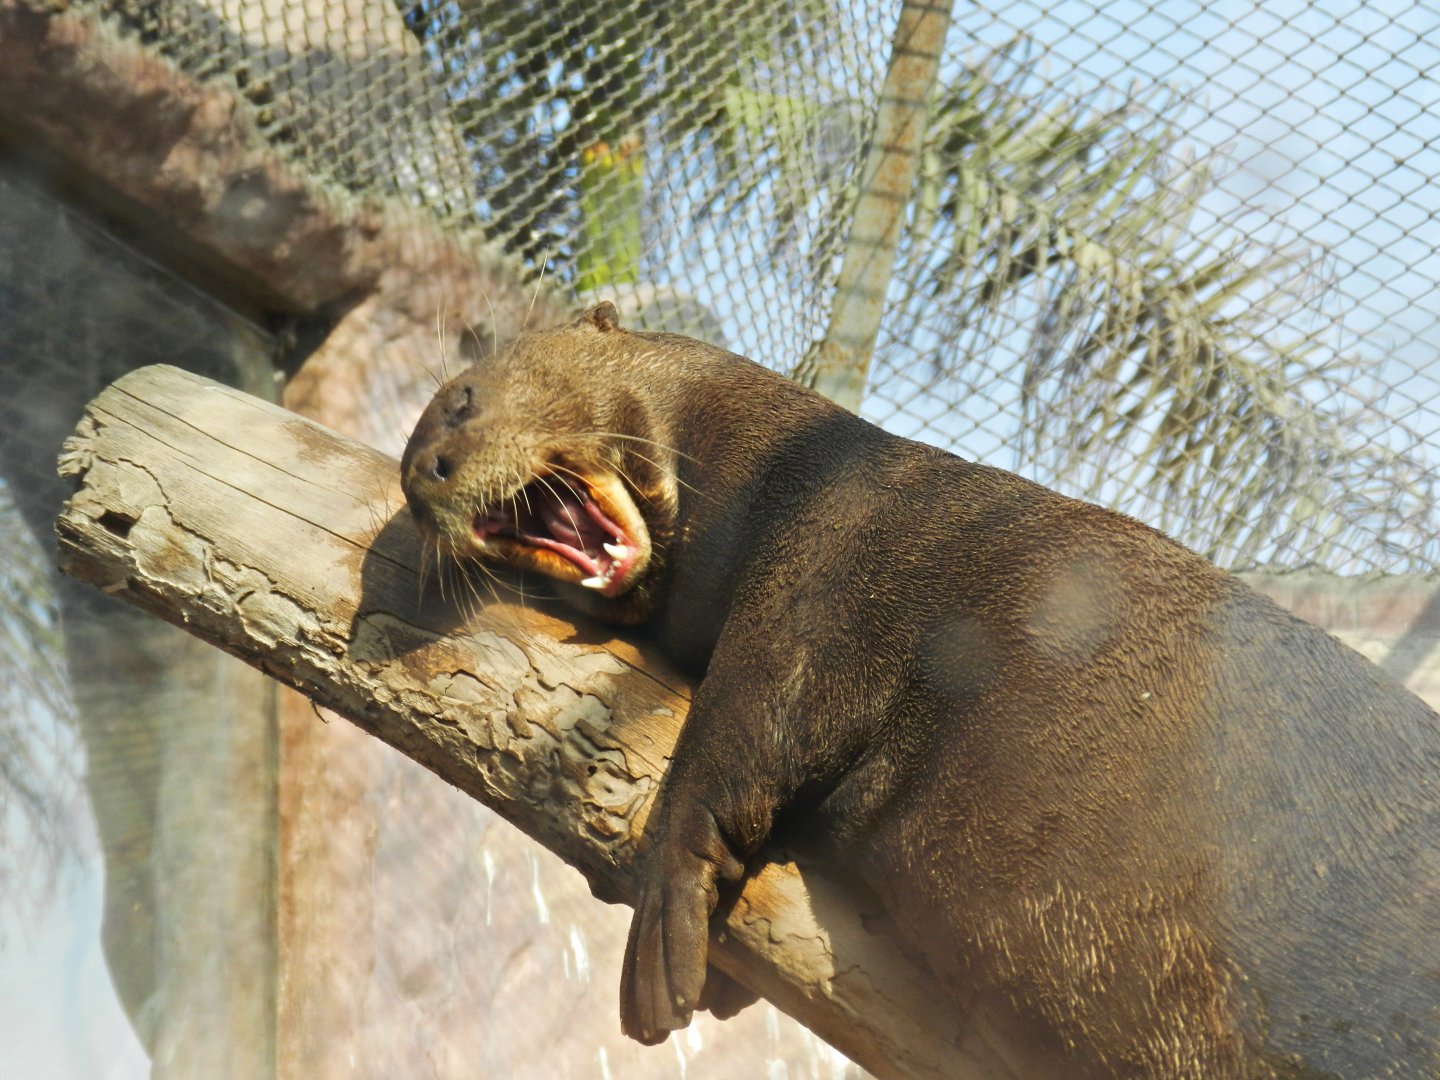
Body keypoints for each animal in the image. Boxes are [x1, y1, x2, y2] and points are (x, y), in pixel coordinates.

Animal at [400, 302, 1440, 1078]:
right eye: (419, 449)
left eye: (461, 400)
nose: (422, 473)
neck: (775, 467)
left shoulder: (818, 580)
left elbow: (727, 750)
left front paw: (659, 955)